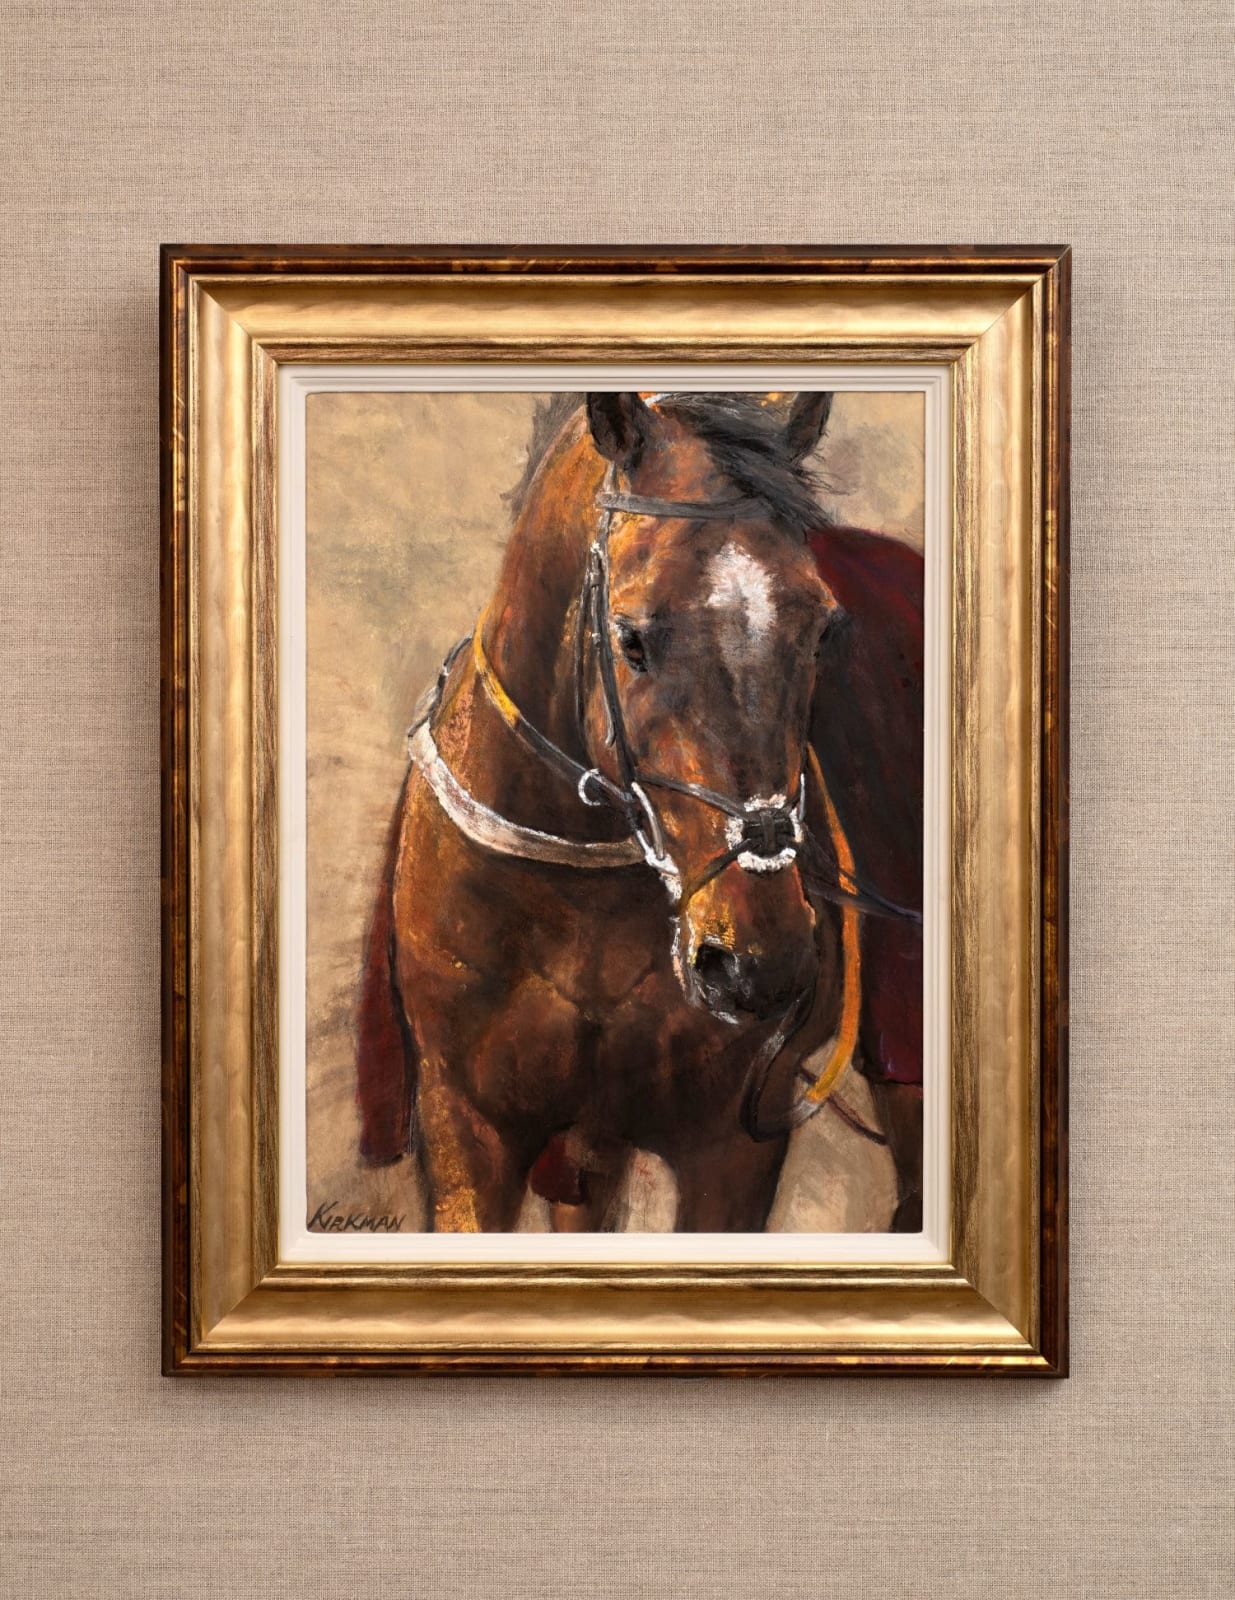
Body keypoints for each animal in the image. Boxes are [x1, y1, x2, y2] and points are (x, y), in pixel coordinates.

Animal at [354, 391, 923, 1233]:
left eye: (823, 629)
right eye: (630, 638)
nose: (759, 964)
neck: (576, 894)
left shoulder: (730, 1148)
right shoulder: (470, 1130)